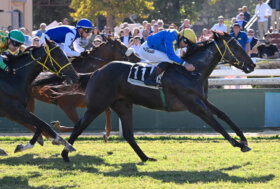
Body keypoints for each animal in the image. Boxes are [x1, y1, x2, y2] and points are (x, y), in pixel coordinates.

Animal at [60, 31, 256, 162]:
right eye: (235, 47)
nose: (252, 65)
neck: (192, 72)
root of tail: (96, 72)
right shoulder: (194, 105)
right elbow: (216, 125)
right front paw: (239, 144)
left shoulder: (203, 100)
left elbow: (224, 115)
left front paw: (244, 138)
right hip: (96, 106)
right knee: (78, 127)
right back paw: (65, 153)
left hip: (123, 105)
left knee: (129, 135)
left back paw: (146, 157)